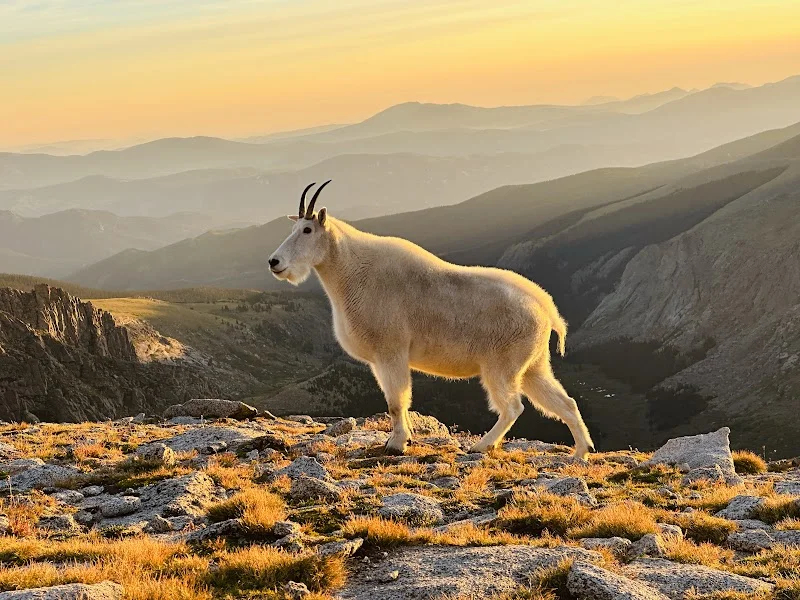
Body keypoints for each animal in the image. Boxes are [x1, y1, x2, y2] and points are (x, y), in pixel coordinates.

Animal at [268, 180, 592, 458]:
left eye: (307, 230)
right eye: (294, 227)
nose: (274, 262)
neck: (350, 271)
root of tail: (547, 309)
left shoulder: (391, 351)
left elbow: (396, 402)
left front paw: (397, 444)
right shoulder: (380, 360)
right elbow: (397, 401)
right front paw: (403, 438)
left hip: (502, 364)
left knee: (513, 406)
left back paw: (482, 446)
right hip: (533, 365)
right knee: (564, 402)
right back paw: (581, 452)